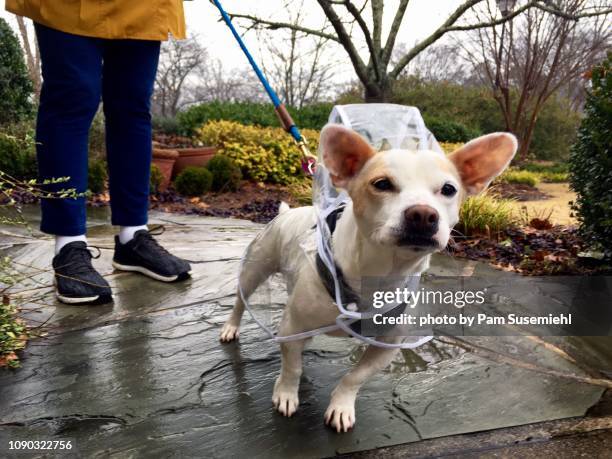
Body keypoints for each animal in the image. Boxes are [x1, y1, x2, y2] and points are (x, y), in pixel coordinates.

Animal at [220, 124, 516, 434]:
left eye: (449, 189)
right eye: (382, 184)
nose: (423, 214)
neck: (379, 273)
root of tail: (288, 212)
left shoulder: (387, 346)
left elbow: (355, 377)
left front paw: (341, 406)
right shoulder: (292, 326)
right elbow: (292, 366)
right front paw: (286, 393)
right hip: (255, 269)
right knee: (240, 302)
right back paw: (231, 328)